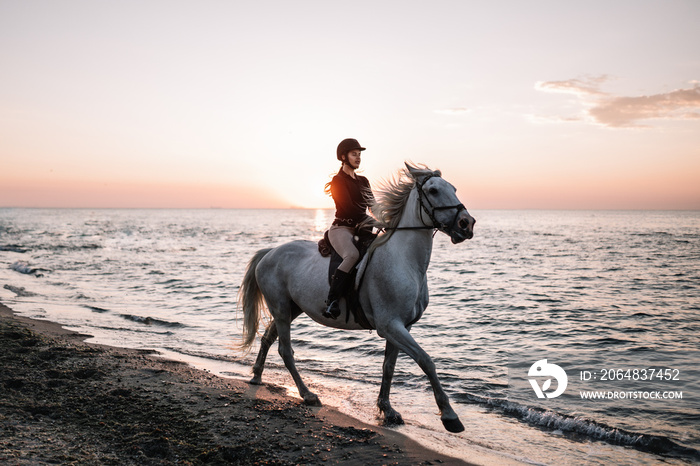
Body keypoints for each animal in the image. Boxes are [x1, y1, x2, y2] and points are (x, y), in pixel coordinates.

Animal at [239, 164, 476, 434]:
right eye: (433, 190)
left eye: (454, 188)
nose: (467, 224)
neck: (403, 260)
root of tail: (270, 252)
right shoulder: (390, 325)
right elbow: (426, 361)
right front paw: (449, 416)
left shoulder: (401, 327)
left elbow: (388, 367)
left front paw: (387, 410)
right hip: (280, 309)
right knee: (285, 350)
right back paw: (308, 394)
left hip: (290, 309)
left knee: (268, 338)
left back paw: (257, 376)